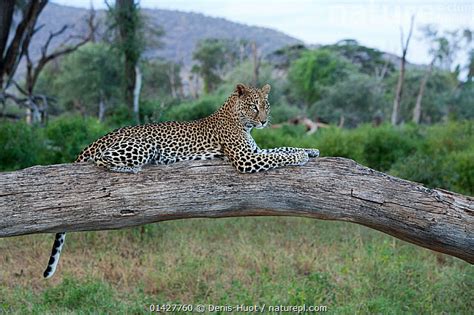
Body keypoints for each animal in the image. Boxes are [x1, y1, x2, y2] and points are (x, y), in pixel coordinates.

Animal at [43, 83, 318, 278]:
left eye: (266, 105)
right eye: (253, 106)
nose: (263, 121)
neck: (239, 120)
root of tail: (107, 134)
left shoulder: (255, 151)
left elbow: (281, 148)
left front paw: (310, 150)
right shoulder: (245, 158)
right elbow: (279, 155)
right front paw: (301, 156)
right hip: (142, 146)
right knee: (101, 160)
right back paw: (131, 169)